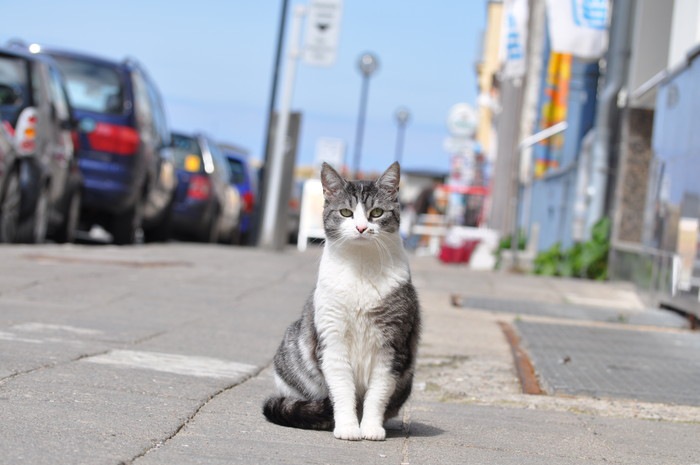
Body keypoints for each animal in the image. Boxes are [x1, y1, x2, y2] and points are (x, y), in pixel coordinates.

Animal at [260, 161, 418, 440]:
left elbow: (377, 395)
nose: (361, 228)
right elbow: (343, 391)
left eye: (377, 212)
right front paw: (347, 427)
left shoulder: (392, 346)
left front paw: (371, 428)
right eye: (346, 212)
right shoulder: (332, 340)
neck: (361, 266)